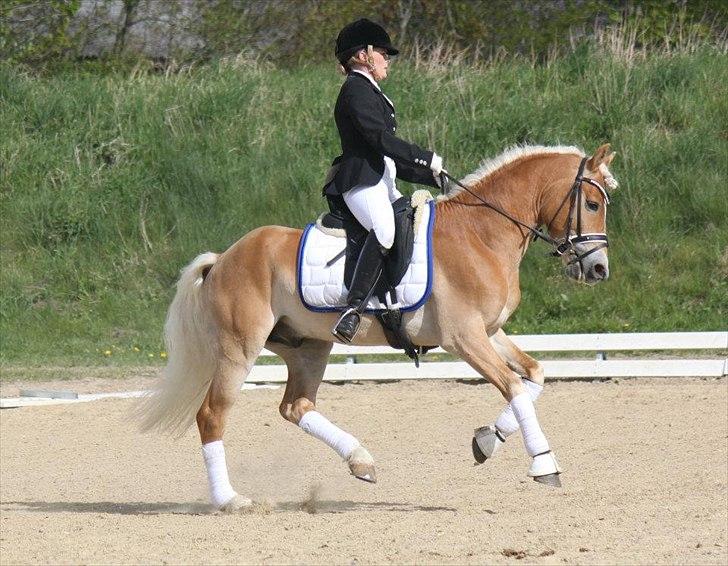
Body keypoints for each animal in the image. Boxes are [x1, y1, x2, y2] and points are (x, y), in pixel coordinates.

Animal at [141, 143, 620, 516]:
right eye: (592, 205)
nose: (598, 270)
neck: (480, 234)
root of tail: (223, 258)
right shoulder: (464, 338)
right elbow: (516, 388)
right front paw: (544, 464)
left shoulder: (491, 333)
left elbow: (535, 376)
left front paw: (487, 440)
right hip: (240, 350)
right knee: (213, 414)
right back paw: (230, 500)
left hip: (308, 347)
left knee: (296, 407)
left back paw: (361, 461)